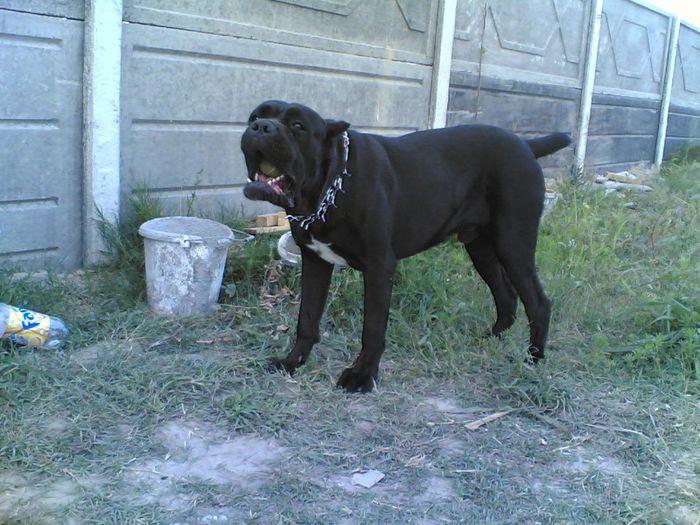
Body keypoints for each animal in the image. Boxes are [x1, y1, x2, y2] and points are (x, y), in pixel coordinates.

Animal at [243, 100, 572, 390]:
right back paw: (491, 339)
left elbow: (373, 328)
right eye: (255, 116)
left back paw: (533, 359)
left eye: (298, 126)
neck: (331, 185)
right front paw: (293, 362)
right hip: (481, 249)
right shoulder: (315, 262)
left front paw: (362, 376)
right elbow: (307, 319)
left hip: (513, 243)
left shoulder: (379, 267)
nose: (260, 127)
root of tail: (525, 145)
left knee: (538, 303)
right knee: (507, 297)